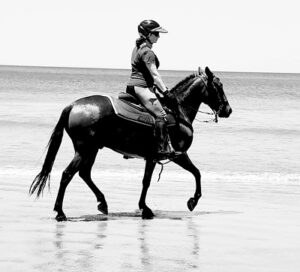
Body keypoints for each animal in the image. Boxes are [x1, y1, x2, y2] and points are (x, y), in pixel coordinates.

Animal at [29, 66, 232, 221]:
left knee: (84, 174)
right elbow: (195, 173)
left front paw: (144, 207)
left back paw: (102, 203)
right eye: (219, 86)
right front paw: (192, 201)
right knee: (67, 175)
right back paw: (60, 212)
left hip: (92, 150)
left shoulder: (152, 157)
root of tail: (73, 106)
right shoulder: (177, 155)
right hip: (84, 150)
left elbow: (147, 181)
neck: (177, 111)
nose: (228, 110)